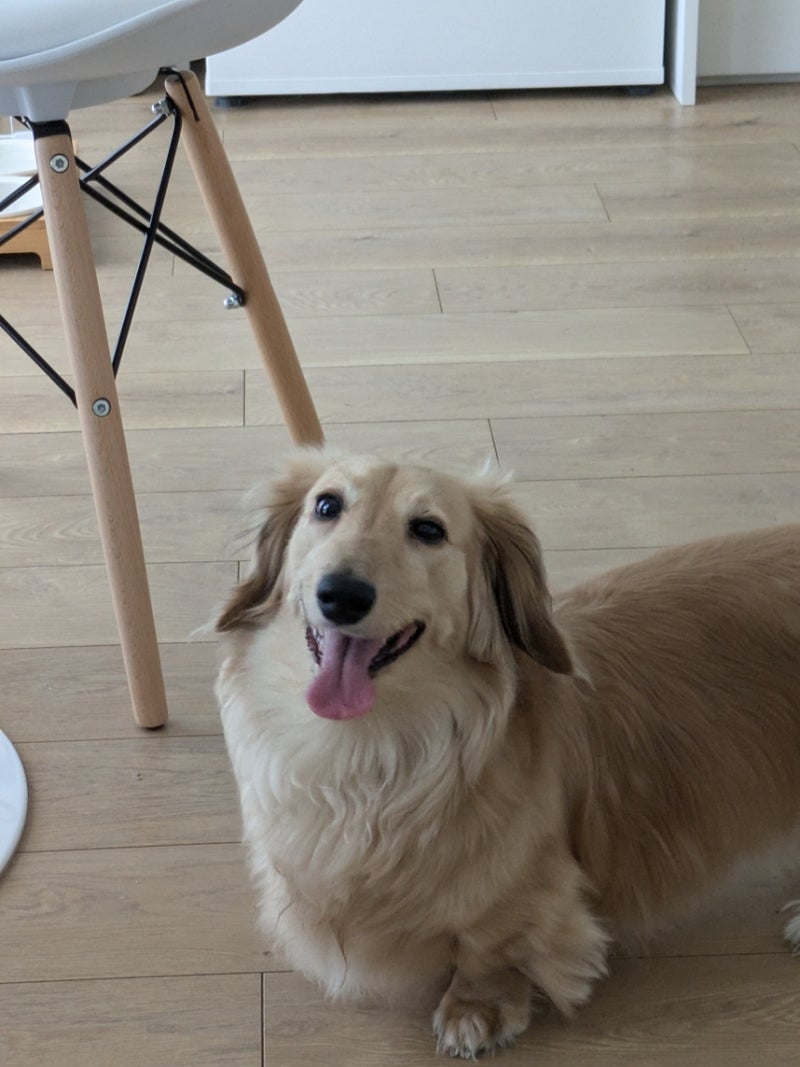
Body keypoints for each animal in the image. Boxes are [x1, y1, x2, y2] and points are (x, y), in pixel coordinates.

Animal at [215, 450, 800, 1058]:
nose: (342, 594)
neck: (372, 751)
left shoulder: (519, 891)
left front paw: (476, 1010)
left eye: (428, 529)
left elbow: (488, 948)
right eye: (326, 506)